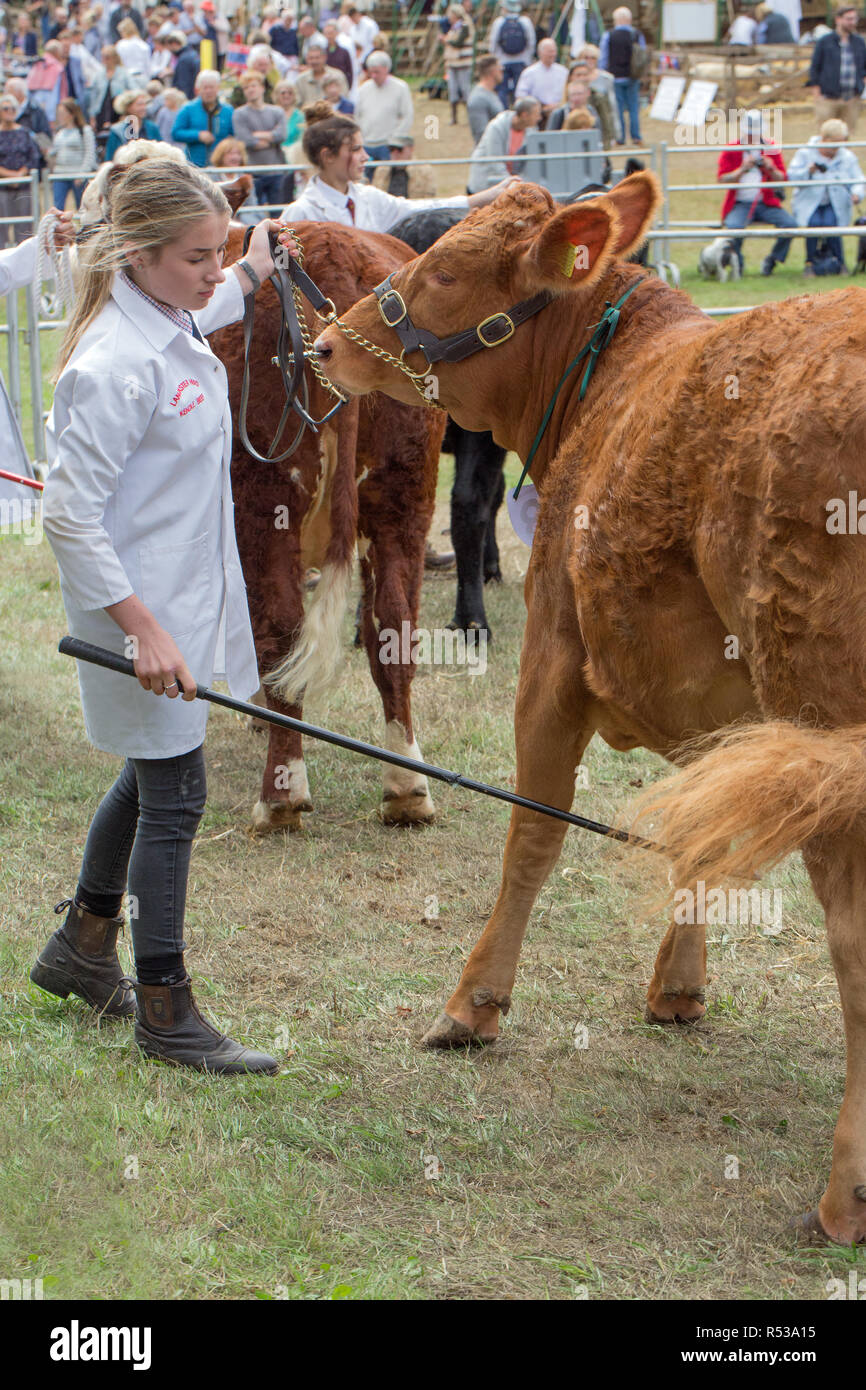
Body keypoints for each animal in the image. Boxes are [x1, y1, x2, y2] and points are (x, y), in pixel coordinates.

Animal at [207, 216, 444, 822]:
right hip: (403, 499)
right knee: (393, 627)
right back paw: (407, 787)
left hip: (265, 503)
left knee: (282, 625)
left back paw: (282, 793)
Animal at [311, 173, 866, 1251]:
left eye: (442, 271)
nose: (324, 343)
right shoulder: (722, 715)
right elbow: (694, 837)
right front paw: (679, 984)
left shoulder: (554, 659)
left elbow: (530, 840)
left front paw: (473, 1004)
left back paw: (840, 1195)